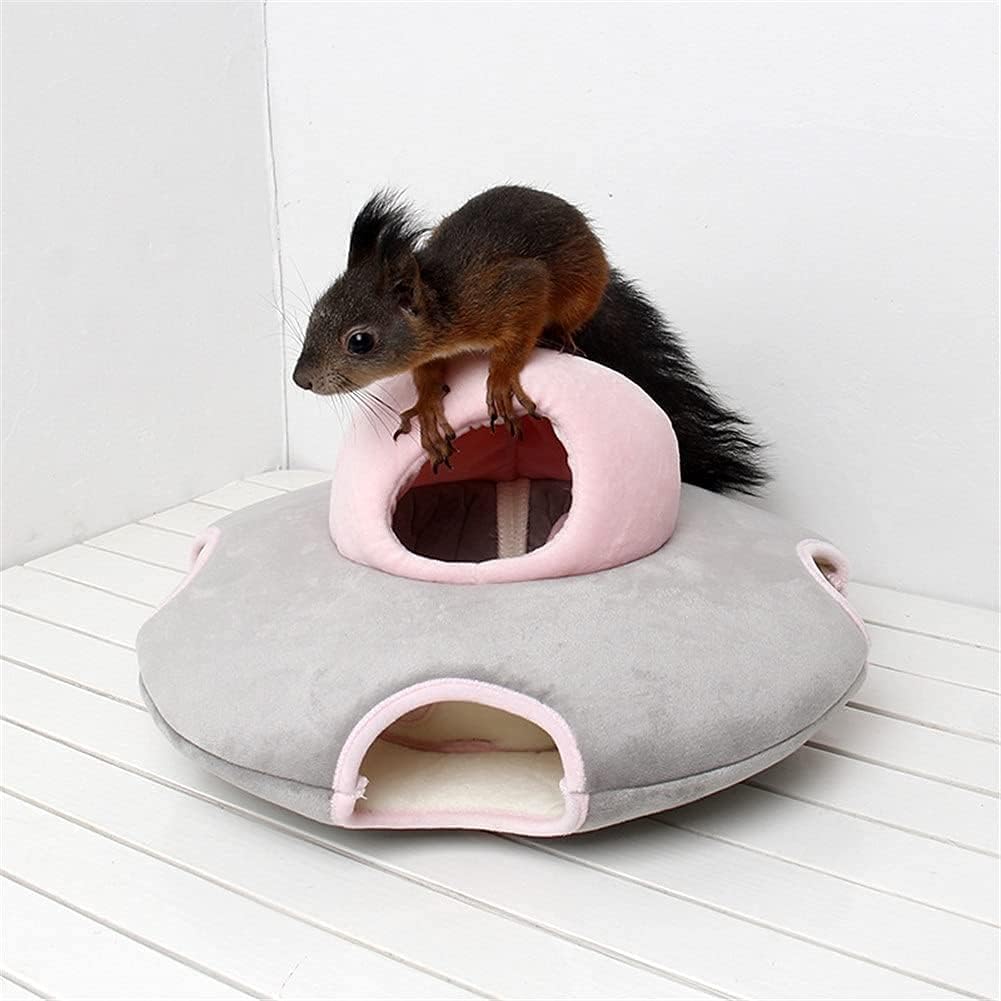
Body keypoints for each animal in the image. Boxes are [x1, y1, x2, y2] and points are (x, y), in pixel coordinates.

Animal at [292, 185, 767, 494]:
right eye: (314, 313)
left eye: (359, 341)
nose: (301, 380)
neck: (444, 302)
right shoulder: (430, 350)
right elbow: (428, 376)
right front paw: (427, 408)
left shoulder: (514, 289)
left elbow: (518, 329)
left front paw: (501, 378)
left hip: (581, 291)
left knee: (566, 321)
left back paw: (562, 338)